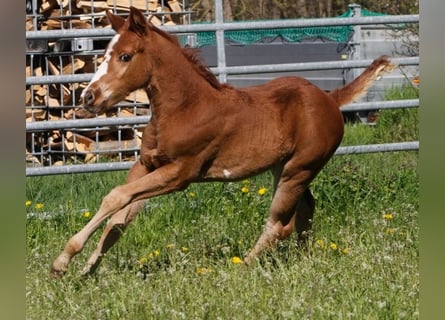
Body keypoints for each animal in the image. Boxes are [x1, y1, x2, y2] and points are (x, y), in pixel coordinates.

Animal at [50, 6, 394, 278]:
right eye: (104, 54)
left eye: (125, 56)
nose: (88, 97)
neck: (185, 108)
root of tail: (330, 99)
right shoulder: (146, 165)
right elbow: (119, 219)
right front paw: (85, 270)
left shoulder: (179, 174)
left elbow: (116, 198)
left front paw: (63, 261)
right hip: (284, 167)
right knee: (306, 210)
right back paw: (303, 258)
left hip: (298, 169)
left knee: (279, 224)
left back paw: (241, 267)